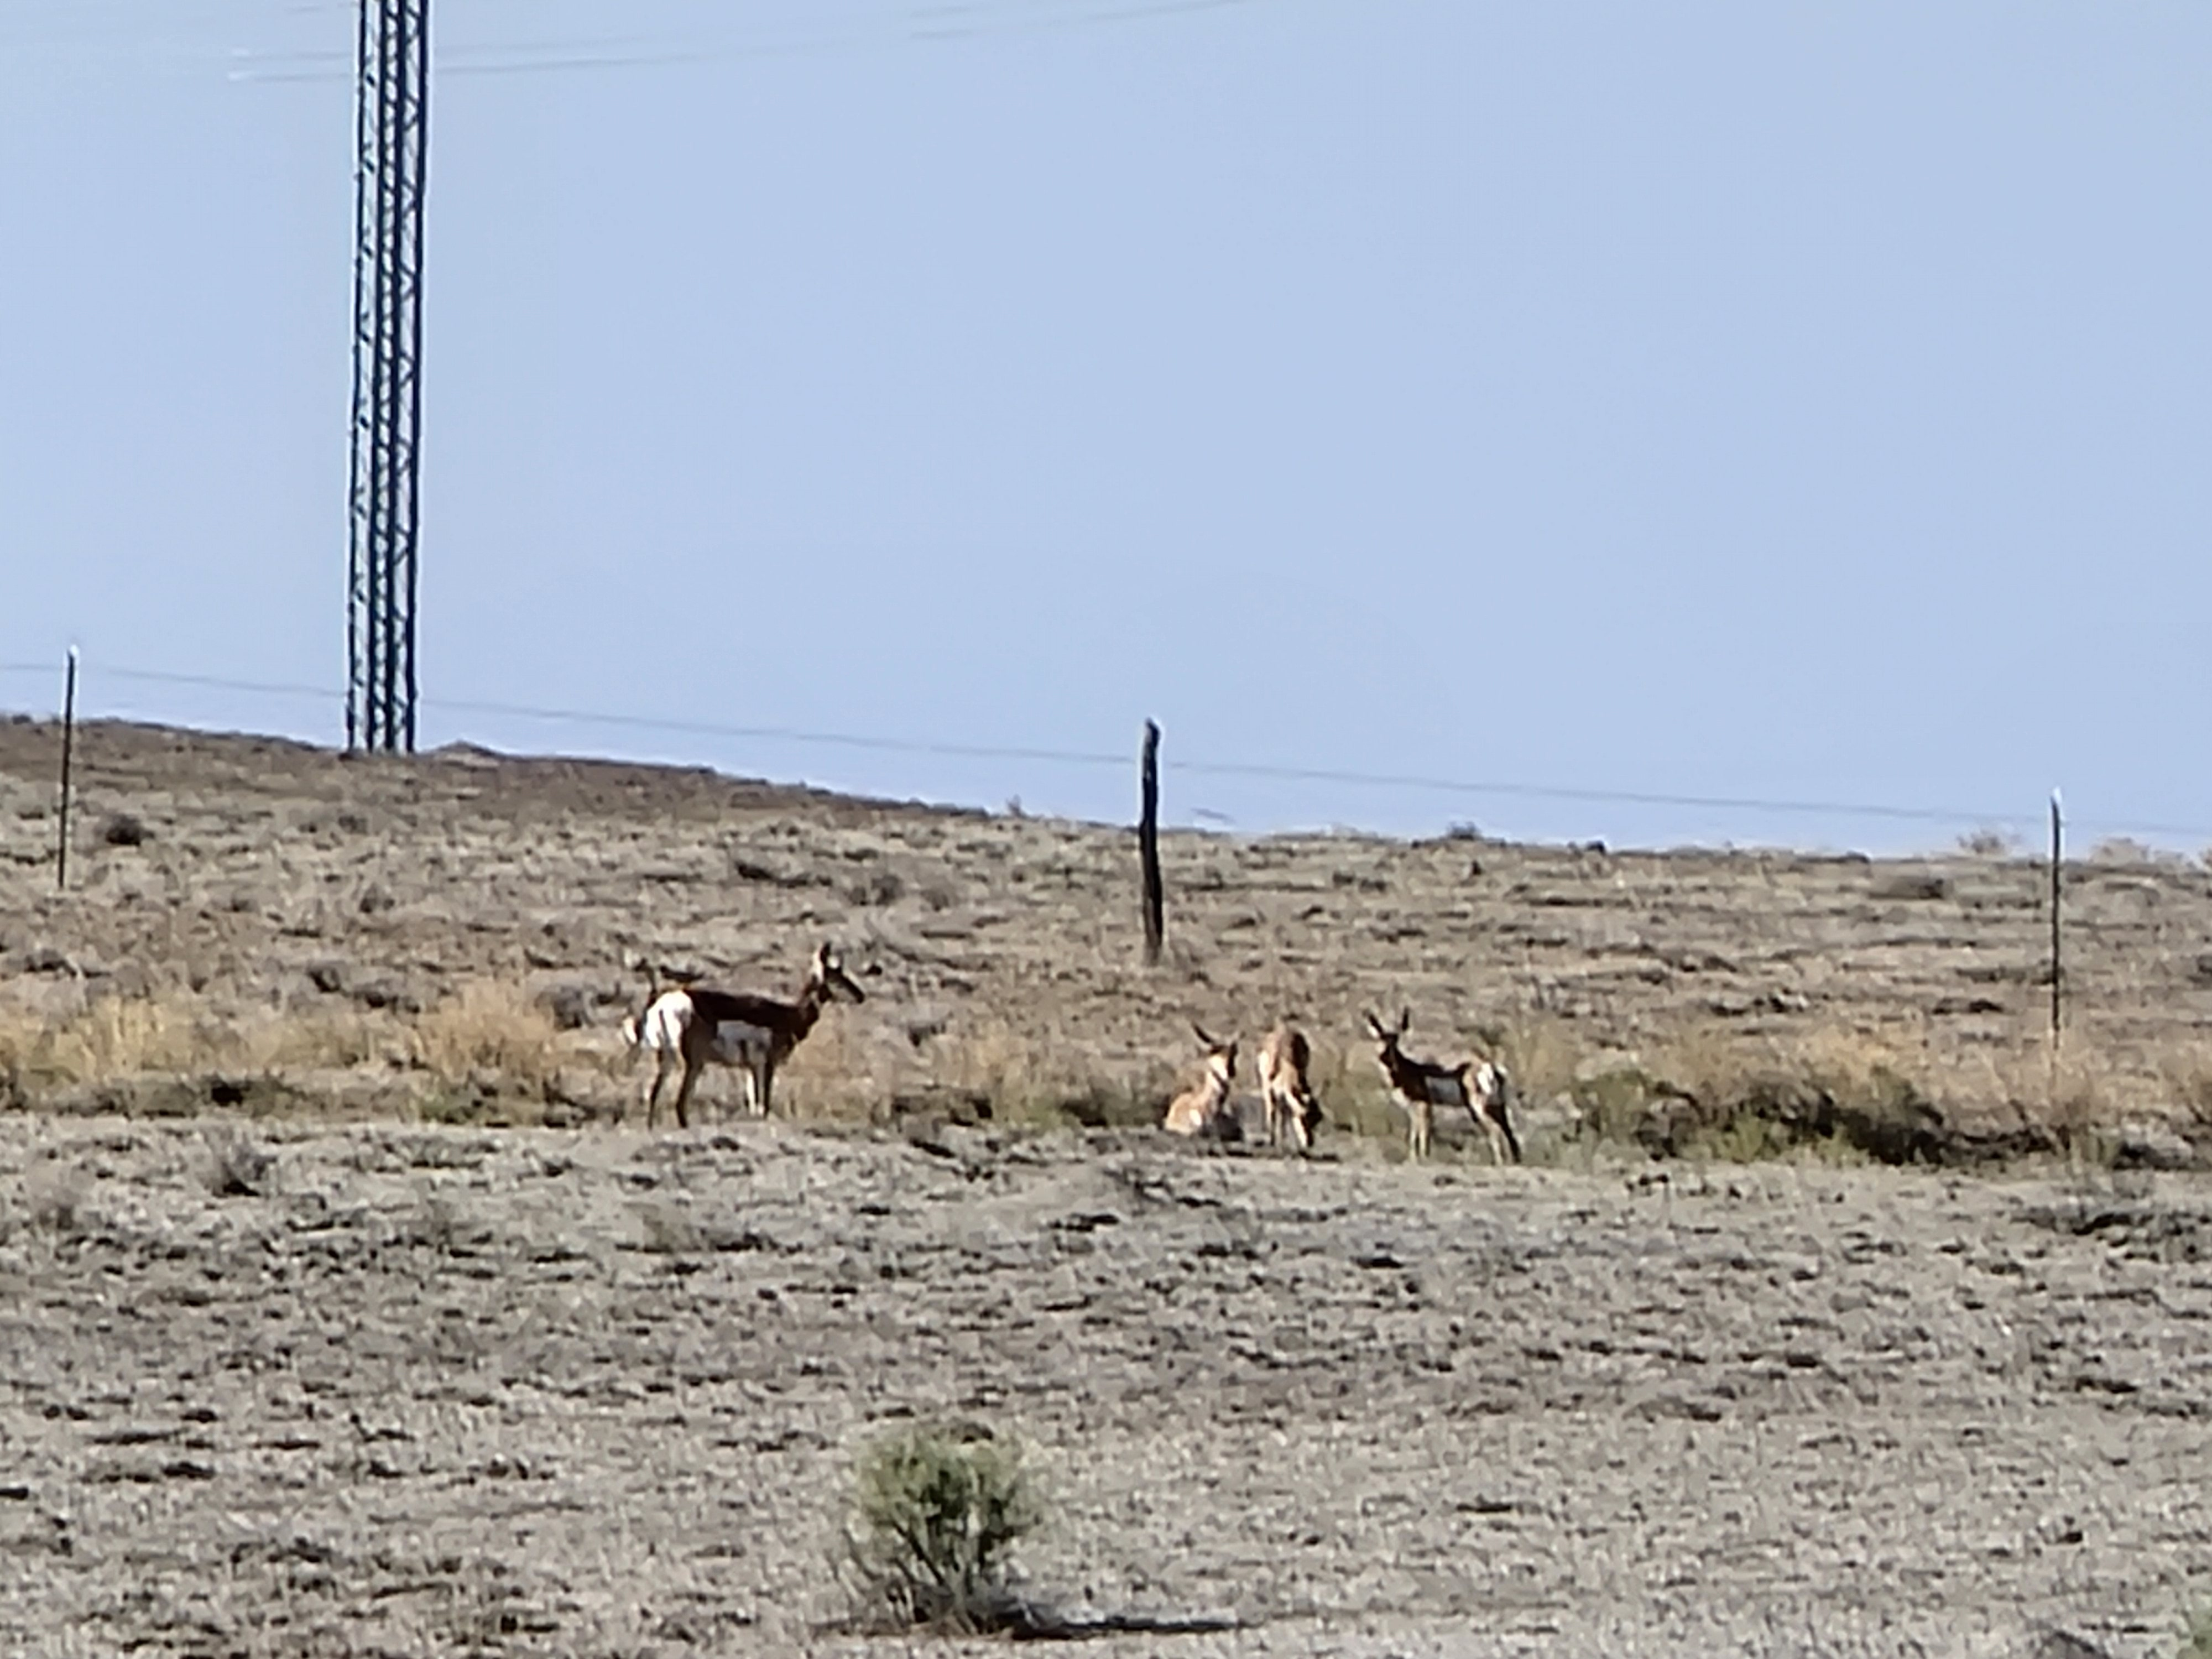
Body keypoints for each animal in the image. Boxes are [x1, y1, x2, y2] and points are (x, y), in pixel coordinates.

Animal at [621, 941, 866, 1129]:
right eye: (835, 977)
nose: (861, 996)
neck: (789, 1015)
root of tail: (665, 1002)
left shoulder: (753, 1068)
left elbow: (755, 1105)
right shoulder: (768, 1065)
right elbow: (765, 1104)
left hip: (669, 1058)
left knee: (655, 1093)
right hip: (693, 1063)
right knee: (681, 1101)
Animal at [1256, 1019, 1323, 1153]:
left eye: (1316, 1120)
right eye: (1302, 1116)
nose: (1310, 1142)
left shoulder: (1285, 1094)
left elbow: (1284, 1116)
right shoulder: (1269, 1090)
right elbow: (1272, 1112)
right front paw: (1272, 1142)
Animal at [1362, 1009, 1521, 1164]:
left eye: (1396, 1042)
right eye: (1381, 1039)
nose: (1386, 1059)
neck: (1408, 1071)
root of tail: (1488, 1067)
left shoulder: (1421, 1104)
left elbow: (1420, 1131)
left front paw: (1420, 1159)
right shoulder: (1417, 1107)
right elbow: (1418, 1130)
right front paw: (1417, 1158)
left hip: (1478, 1107)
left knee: (1494, 1130)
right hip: (1496, 1106)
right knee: (1506, 1130)